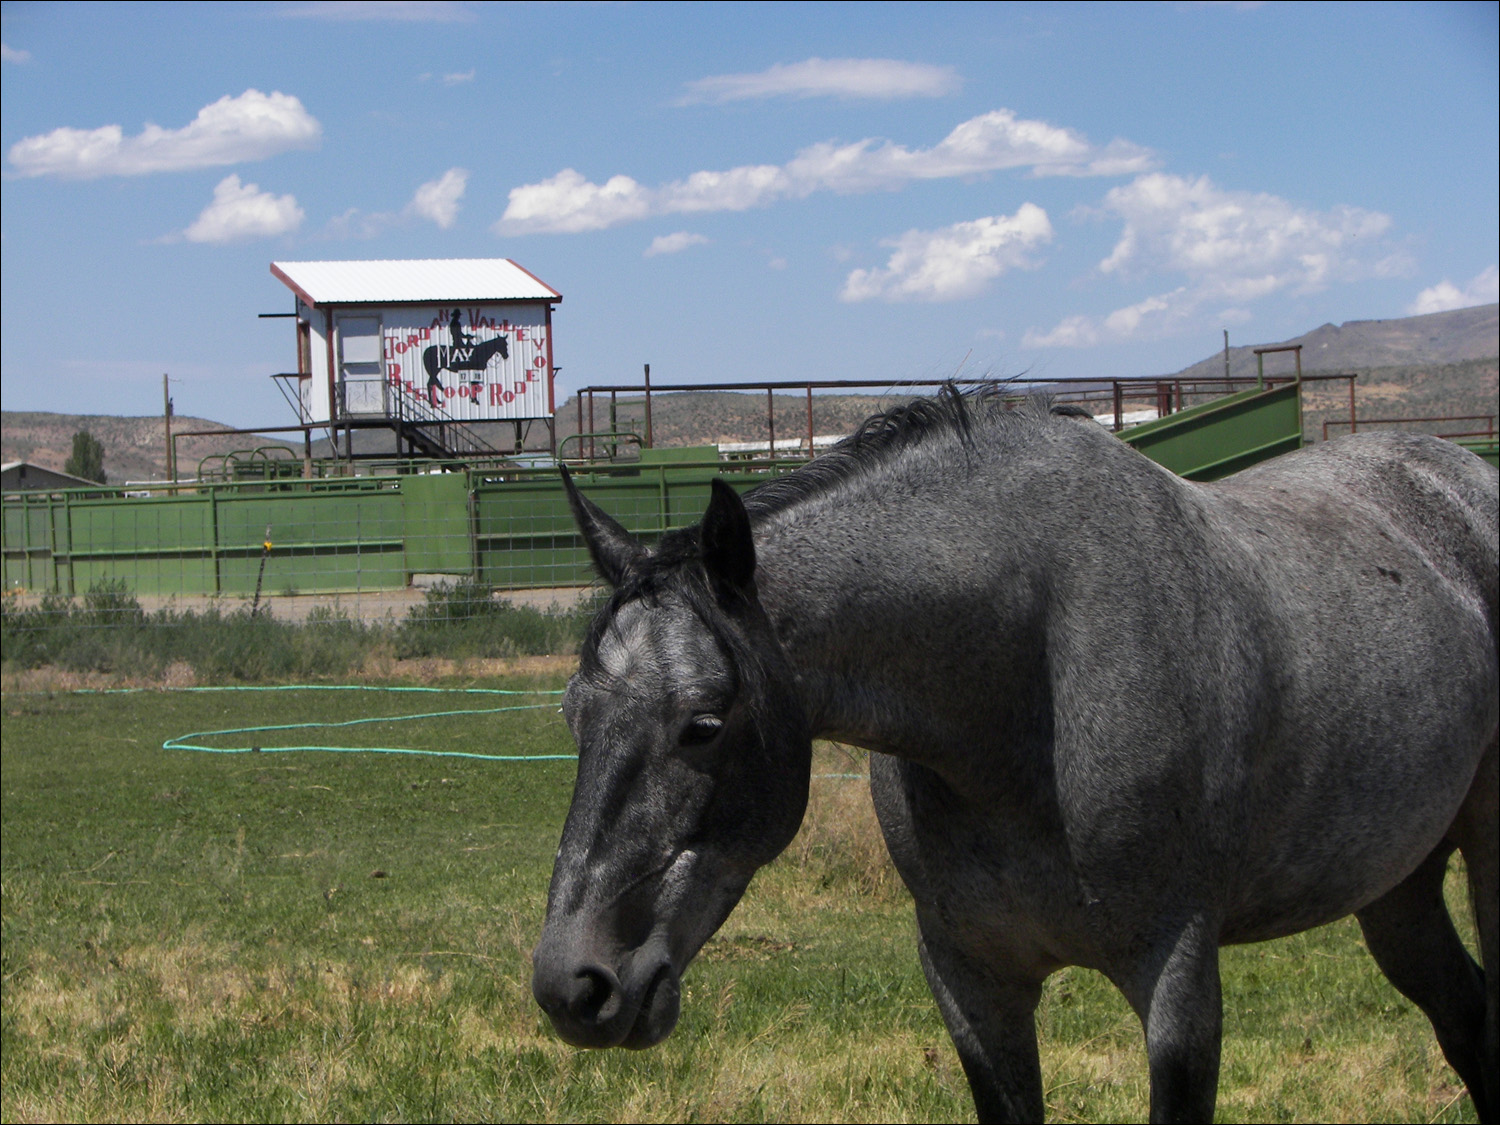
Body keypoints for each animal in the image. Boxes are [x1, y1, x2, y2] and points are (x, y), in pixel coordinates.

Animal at [534, 393, 1494, 1122]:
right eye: (574, 713)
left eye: (702, 723)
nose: (573, 986)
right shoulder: (974, 988)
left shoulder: (1179, 986)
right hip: (1396, 885)